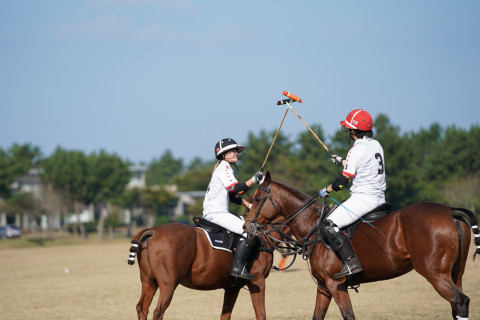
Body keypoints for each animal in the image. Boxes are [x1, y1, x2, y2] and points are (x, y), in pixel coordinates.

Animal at [127, 218, 284, 320]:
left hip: (149, 282)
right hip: (168, 284)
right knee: (158, 312)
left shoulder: (232, 287)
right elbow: (261, 314)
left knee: (142, 308)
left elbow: (225, 314)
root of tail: (153, 231)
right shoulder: (258, 281)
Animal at [246, 172, 478, 320]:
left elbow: (348, 315)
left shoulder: (335, 284)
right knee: (458, 305)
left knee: (460, 301)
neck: (314, 227)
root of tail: (450, 211)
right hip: (456, 272)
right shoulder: (323, 286)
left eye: (257, 199)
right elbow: (317, 316)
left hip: (434, 272)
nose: (247, 225)